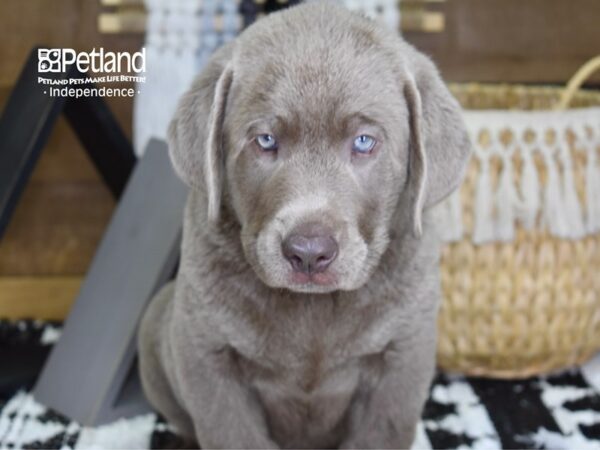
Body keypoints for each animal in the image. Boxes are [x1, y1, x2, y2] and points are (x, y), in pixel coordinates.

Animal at [138, 1, 472, 448]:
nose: (309, 252)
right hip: (157, 321)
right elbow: (231, 432)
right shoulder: (206, 351)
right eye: (265, 140)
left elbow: (380, 431)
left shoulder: (404, 353)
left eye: (364, 142)